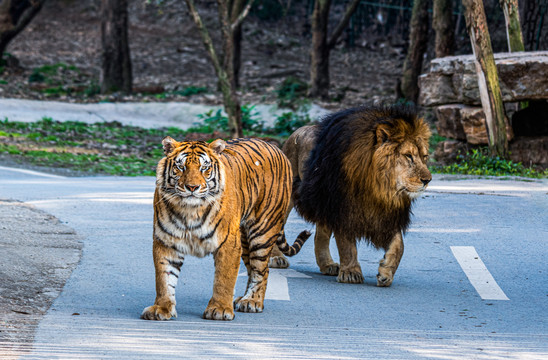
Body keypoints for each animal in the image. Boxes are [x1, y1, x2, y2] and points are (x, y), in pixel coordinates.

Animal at [139, 137, 310, 320]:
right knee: (251, 269)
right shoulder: (166, 241)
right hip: (245, 239)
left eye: (204, 168)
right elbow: (164, 278)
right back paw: (243, 299)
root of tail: (275, 147)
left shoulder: (228, 243)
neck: (190, 210)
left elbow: (224, 279)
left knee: (262, 270)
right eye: (181, 167)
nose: (192, 187)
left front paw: (219, 309)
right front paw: (161, 308)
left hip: (263, 231)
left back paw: (252, 301)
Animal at [270, 105, 432, 286]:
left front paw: (386, 272)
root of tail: (295, 133)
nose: (427, 180)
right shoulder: (342, 207)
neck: (380, 189)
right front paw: (351, 273)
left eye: (424, 157)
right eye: (408, 156)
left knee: (320, 234)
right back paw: (276, 258)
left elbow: (399, 246)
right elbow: (346, 245)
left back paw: (328, 265)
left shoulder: (387, 213)